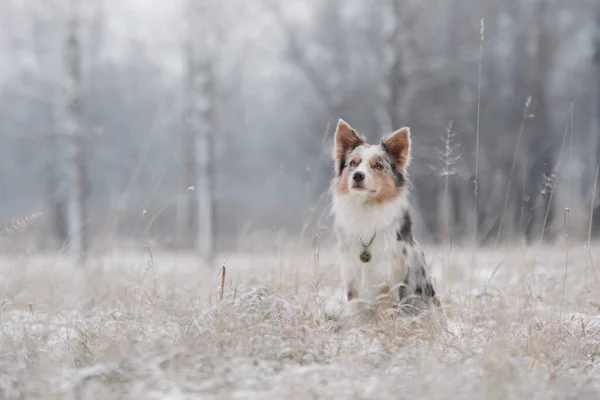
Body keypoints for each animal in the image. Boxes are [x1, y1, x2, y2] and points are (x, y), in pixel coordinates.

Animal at [330, 119, 438, 318]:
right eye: (353, 163)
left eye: (378, 166)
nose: (357, 176)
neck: (366, 209)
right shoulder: (352, 280)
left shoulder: (387, 282)